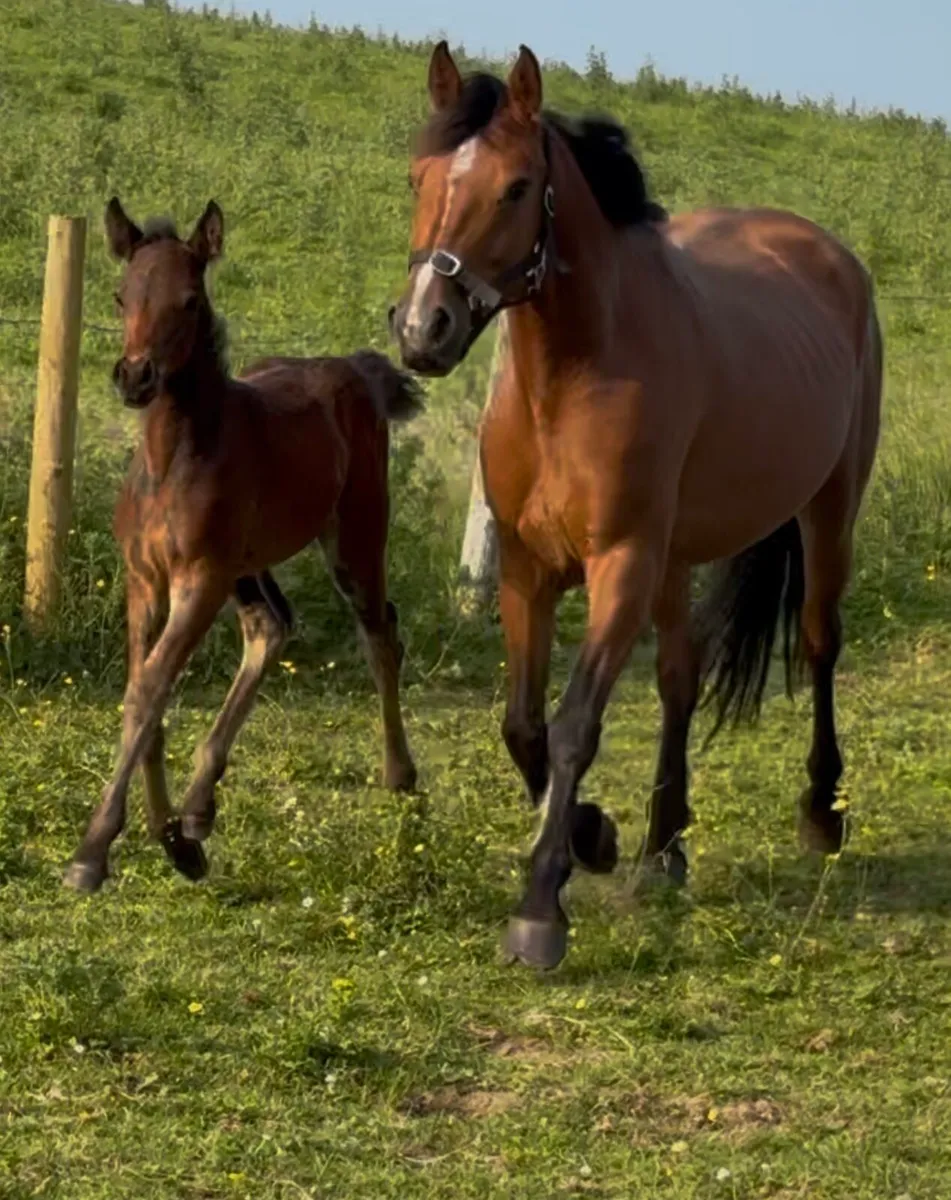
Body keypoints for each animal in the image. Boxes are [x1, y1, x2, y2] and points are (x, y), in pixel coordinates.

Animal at [64, 198, 421, 894]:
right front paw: (176, 840)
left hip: (353, 537)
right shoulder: (144, 579)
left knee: (380, 632)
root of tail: (353, 368)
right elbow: (146, 693)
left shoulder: (199, 579)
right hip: (247, 566)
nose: (135, 377)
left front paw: (93, 851)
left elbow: (149, 690)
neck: (172, 460)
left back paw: (401, 775)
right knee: (271, 626)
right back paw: (201, 806)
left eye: (190, 300)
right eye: (121, 295)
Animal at [390, 43, 882, 969]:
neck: (571, 378)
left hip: (827, 509)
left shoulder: (619, 563)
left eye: (516, 187)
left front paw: (539, 910)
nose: (422, 330)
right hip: (677, 557)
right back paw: (662, 848)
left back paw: (818, 815)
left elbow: (574, 724)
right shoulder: (525, 570)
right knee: (679, 680)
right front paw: (595, 835)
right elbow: (521, 724)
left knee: (817, 644)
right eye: (419, 176)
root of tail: (824, 251)